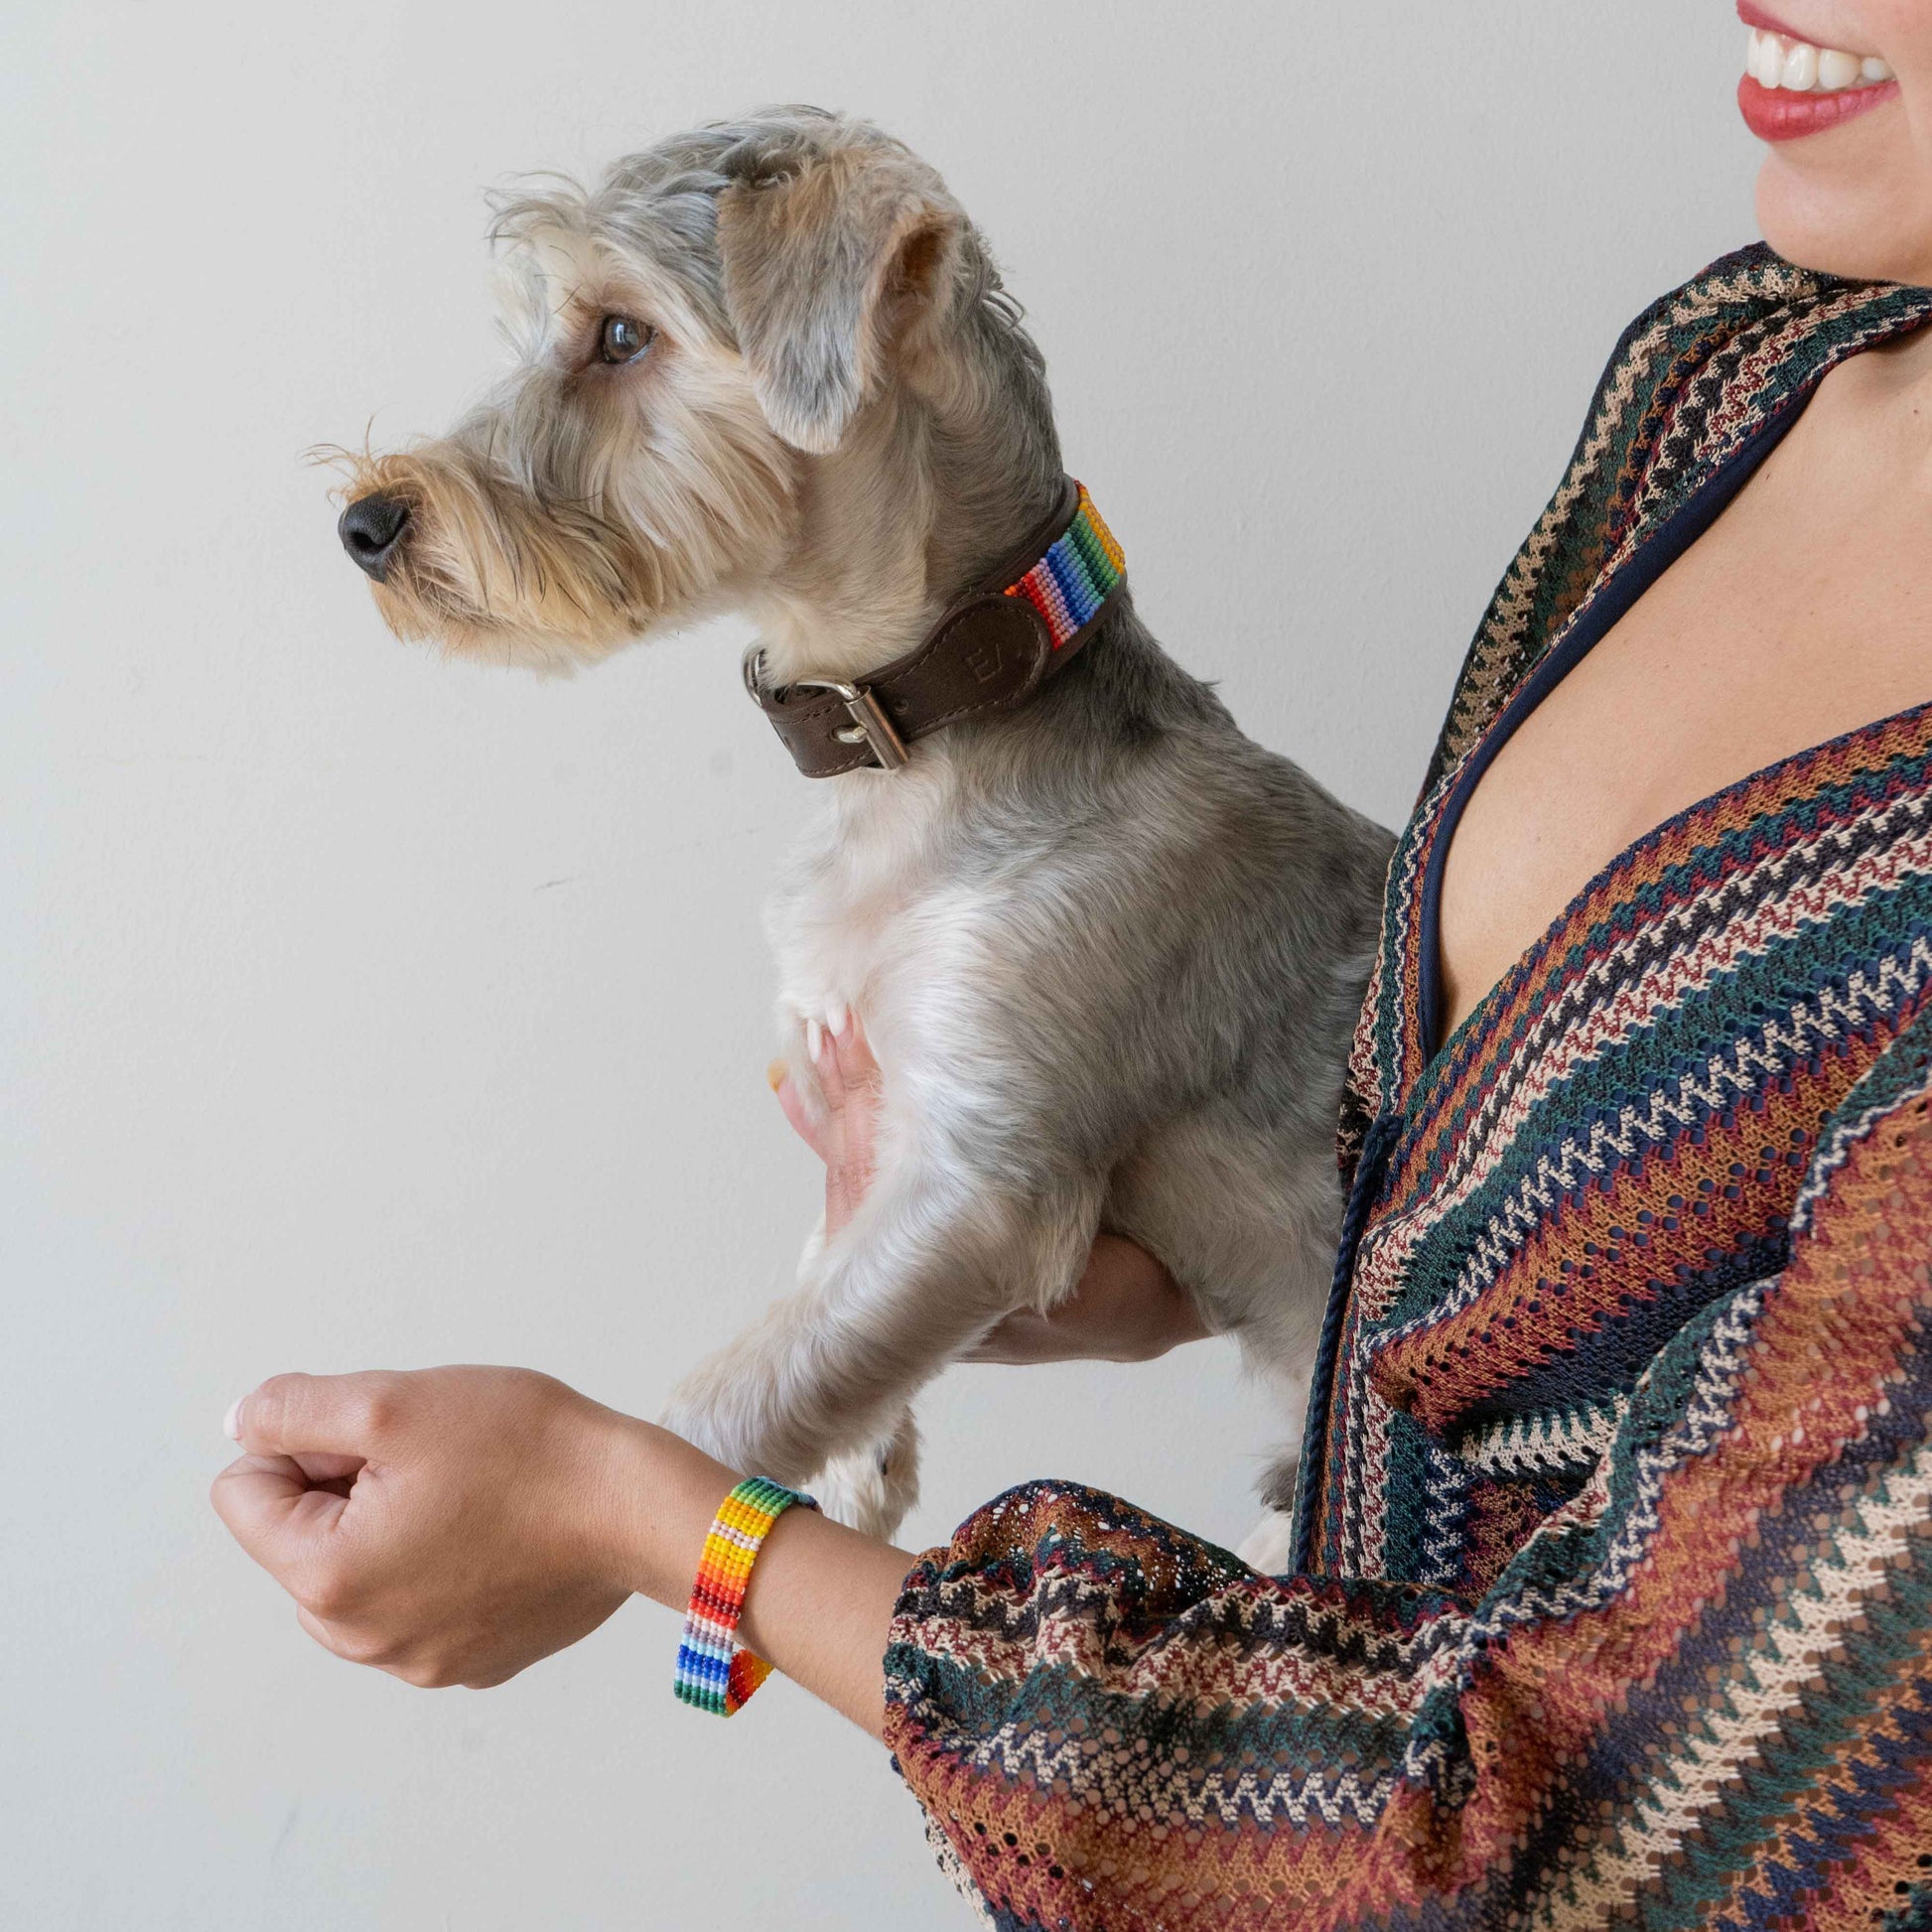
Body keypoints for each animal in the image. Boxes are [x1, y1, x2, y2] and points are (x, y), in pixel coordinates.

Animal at [328, 105, 1391, 1561]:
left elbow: (719, 1401)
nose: (363, 521)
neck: (923, 740)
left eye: (620, 333)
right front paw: (855, 1456)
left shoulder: (981, 1165)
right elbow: (816, 1289)